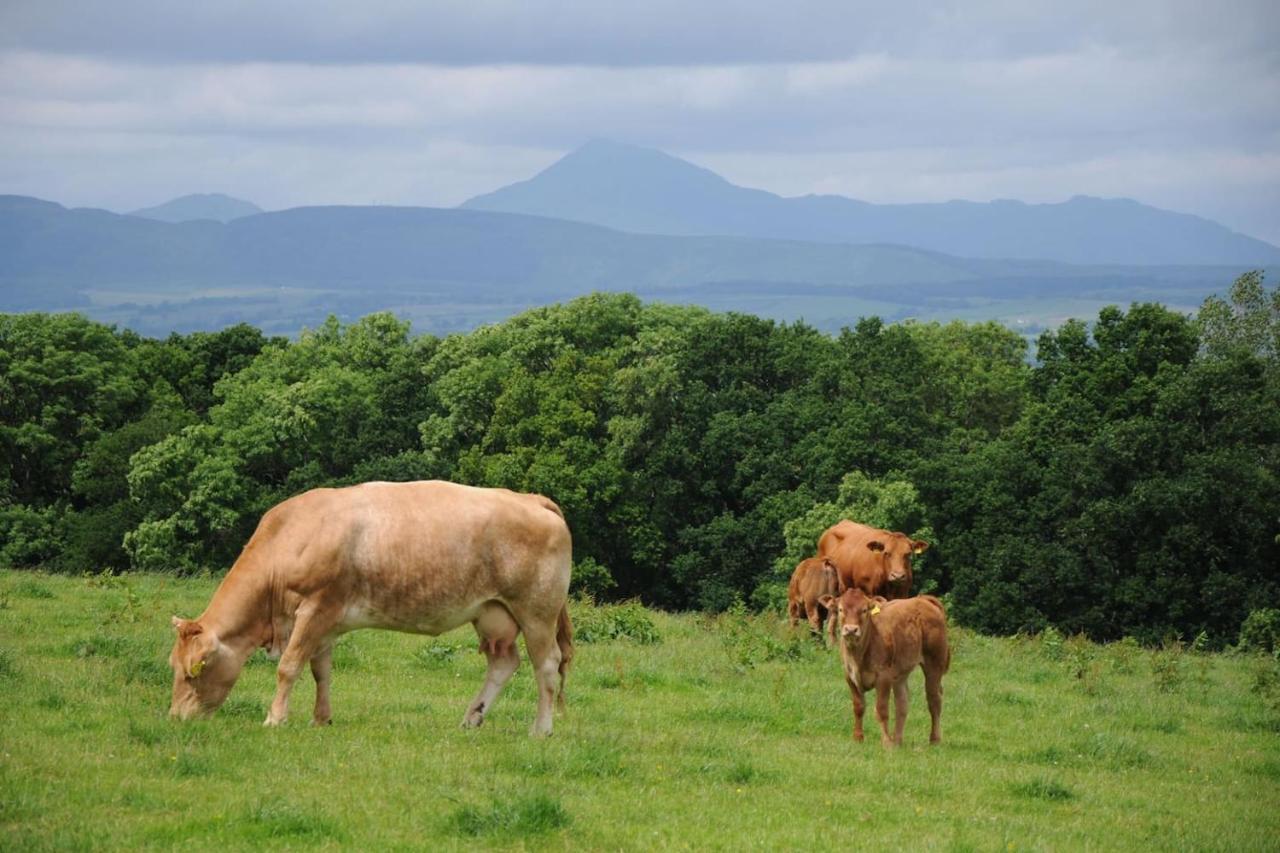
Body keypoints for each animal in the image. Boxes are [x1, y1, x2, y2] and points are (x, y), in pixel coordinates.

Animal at [166, 481, 576, 732]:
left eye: (194, 671)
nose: (176, 717)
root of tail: (530, 498)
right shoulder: (325, 621)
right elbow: (321, 671)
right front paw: (321, 719)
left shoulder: (314, 608)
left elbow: (289, 667)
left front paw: (275, 718)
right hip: (493, 613)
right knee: (504, 663)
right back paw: (471, 718)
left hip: (537, 612)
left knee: (546, 666)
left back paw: (541, 729)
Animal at [819, 584, 952, 742]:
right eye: (840, 609)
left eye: (864, 610)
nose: (851, 629)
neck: (858, 655)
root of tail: (923, 599)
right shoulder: (849, 676)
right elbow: (858, 707)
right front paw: (858, 737)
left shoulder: (883, 677)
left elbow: (881, 709)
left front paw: (886, 741)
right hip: (901, 672)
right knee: (902, 703)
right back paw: (898, 740)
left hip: (934, 663)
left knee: (934, 700)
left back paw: (934, 739)